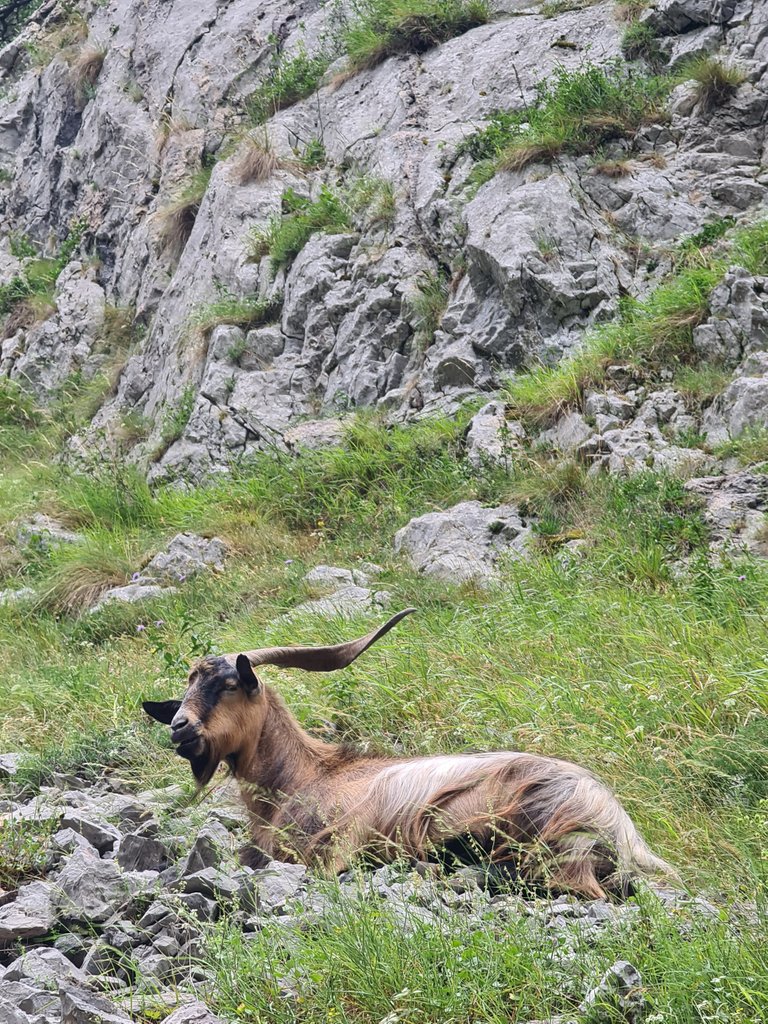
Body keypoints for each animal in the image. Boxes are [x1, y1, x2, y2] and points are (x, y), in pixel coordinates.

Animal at [144, 606, 671, 897]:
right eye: (187, 686)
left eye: (230, 684)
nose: (179, 727)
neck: (303, 777)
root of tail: (622, 830)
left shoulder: (335, 845)